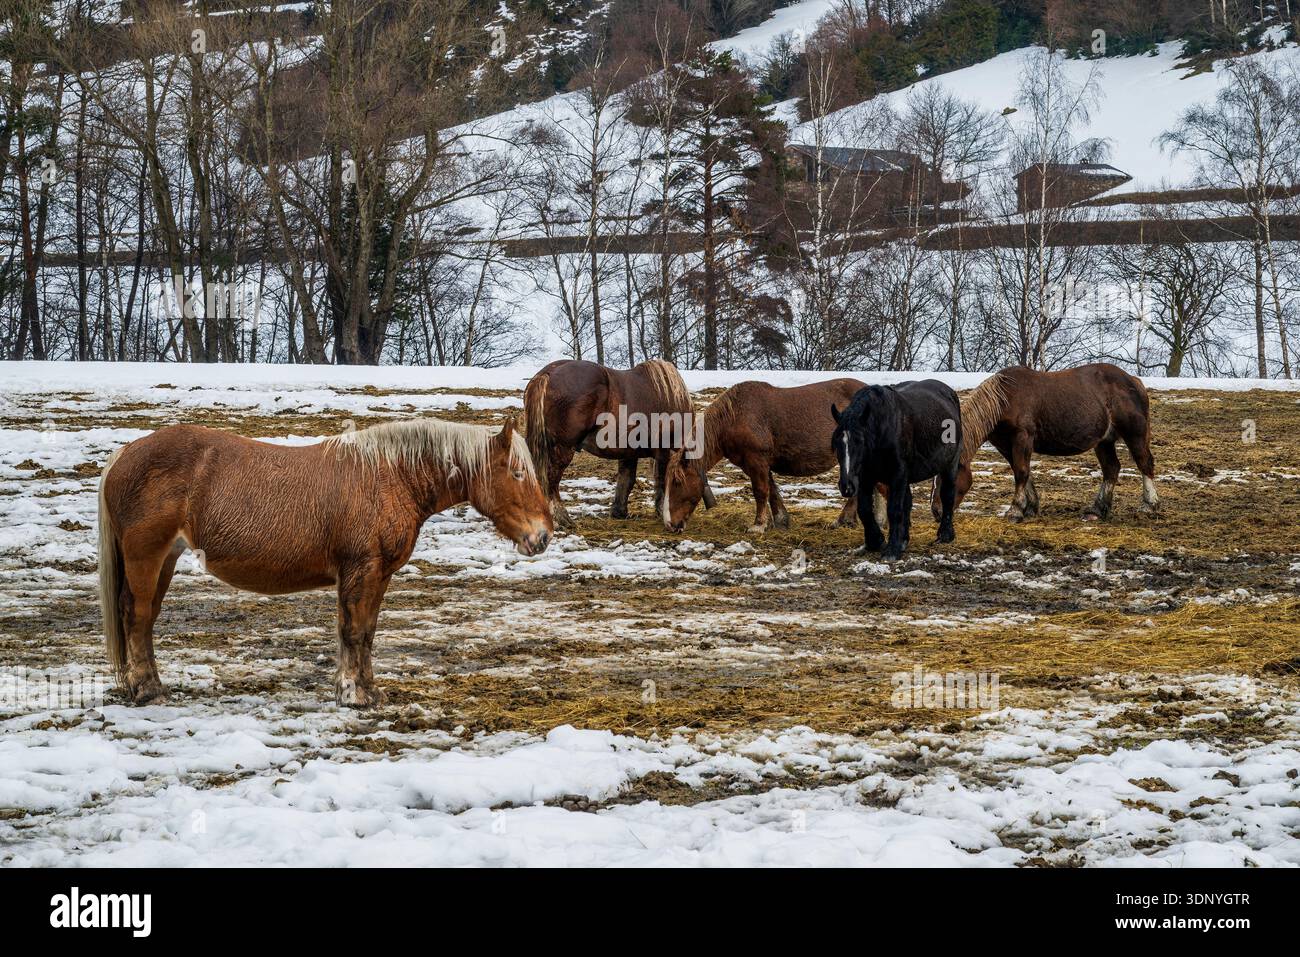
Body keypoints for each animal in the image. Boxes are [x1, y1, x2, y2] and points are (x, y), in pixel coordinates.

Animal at [97, 417, 550, 708]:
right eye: (517, 473)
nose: (543, 536)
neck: (388, 477)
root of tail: (126, 454)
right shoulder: (360, 570)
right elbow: (353, 632)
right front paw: (353, 694)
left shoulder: (379, 575)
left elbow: (367, 633)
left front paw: (368, 690)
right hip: (147, 557)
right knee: (137, 616)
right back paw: (147, 690)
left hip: (164, 561)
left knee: (144, 618)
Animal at [523, 358, 715, 528]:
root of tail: (547, 373)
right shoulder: (663, 450)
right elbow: (660, 481)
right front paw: (661, 510)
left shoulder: (629, 452)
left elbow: (626, 480)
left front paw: (619, 511)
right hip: (563, 448)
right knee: (552, 480)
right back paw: (563, 518)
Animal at [661, 378, 865, 534]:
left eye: (677, 482)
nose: (669, 524)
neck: (734, 417)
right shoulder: (760, 464)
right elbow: (772, 491)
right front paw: (781, 521)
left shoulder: (756, 461)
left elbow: (760, 492)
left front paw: (758, 525)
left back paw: (843, 520)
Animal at [832, 381, 962, 560]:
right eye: (836, 443)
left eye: (860, 441)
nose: (847, 486)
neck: (883, 428)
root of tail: (949, 392)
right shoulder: (865, 476)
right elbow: (864, 509)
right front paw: (876, 541)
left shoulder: (897, 474)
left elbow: (894, 510)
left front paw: (891, 550)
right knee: (907, 503)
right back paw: (903, 540)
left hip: (950, 464)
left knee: (948, 496)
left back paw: (945, 535)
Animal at [930, 363, 1157, 522]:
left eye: (946, 478)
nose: (936, 511)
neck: (1004, 400)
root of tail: (1133, 381)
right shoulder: (1005, 445)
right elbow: (1022, 472)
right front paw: (1030, 507)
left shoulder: (1022, 438)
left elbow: (1021, 472)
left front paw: (1015, 510)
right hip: (1104, 441)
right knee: (1111, 470)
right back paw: (1096, 510)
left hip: (1134, 434)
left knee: (1144, 463)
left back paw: (1149, 504)